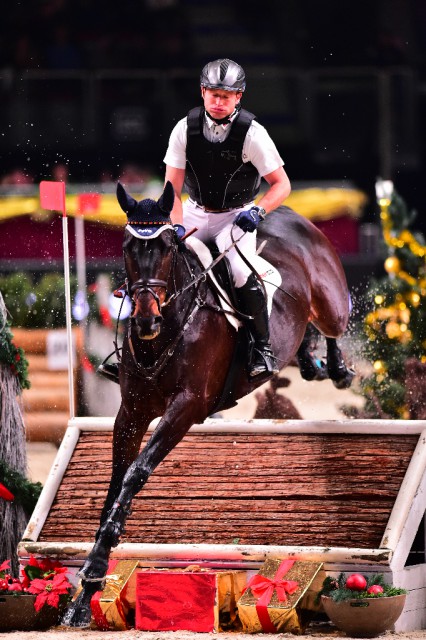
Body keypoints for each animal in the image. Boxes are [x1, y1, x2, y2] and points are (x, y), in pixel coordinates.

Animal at [62, 180, 352, 624]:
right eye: (127, 247)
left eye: (167, 247)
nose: (145, 320)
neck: (169, 329)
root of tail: (291, 214)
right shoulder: (131, 411)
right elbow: (117, 480)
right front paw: (85, 591)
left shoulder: (187, 408)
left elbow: (136, 474)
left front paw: (94, 569)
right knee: (307, 334)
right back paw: (308, 361)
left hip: (330, 302)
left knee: (333, 322)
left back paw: (335, 368)